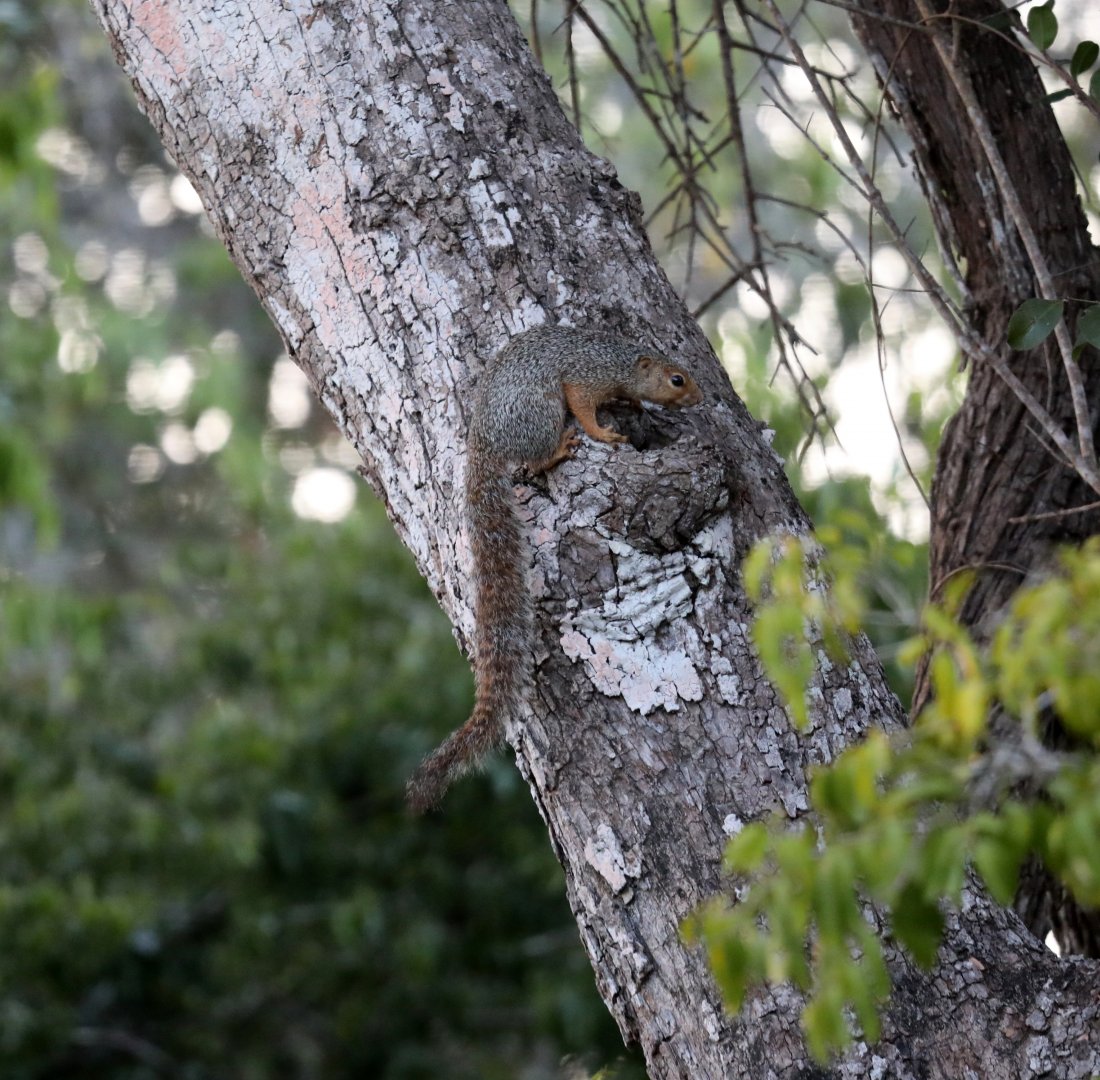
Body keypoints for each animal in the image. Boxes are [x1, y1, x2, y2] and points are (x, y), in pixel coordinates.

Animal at [405, 325, 703, 812]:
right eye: (676, 379)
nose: (698, 398)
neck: (621, 362)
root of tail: (483, 443)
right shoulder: (585, 380)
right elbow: (584, 408)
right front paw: (604, 432)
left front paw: (636, 407)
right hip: (541, 411)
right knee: (537, 456)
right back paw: (559, 450)